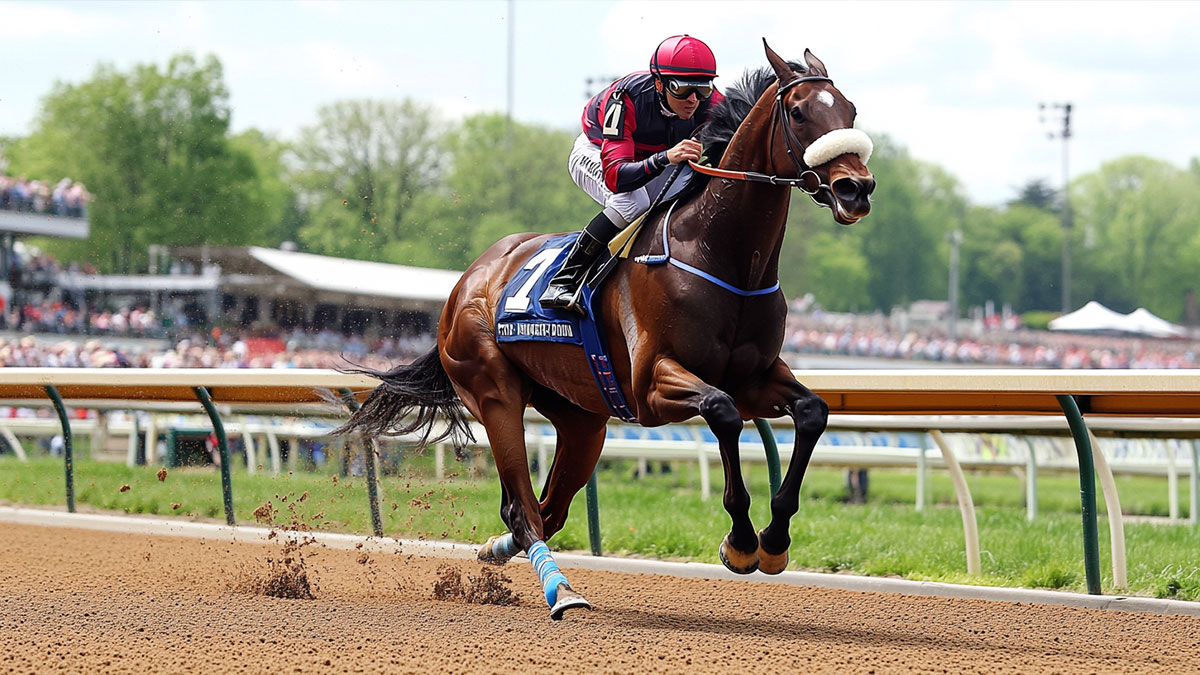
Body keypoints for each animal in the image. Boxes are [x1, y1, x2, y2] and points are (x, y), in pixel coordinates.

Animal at [338, 42, 873, 619]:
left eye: (850, 111)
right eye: (798, 113)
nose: (856, 188)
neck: (721, 255)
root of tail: (468, 279)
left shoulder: (755, 377)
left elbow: (811, 412)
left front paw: (773, 542)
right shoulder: (652, 385)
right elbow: (723, 412)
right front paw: (741, 541)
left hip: (582, 419)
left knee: (546, 510)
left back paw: (495, 552)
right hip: (494, 392)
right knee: (522, 508)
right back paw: (561, 591)